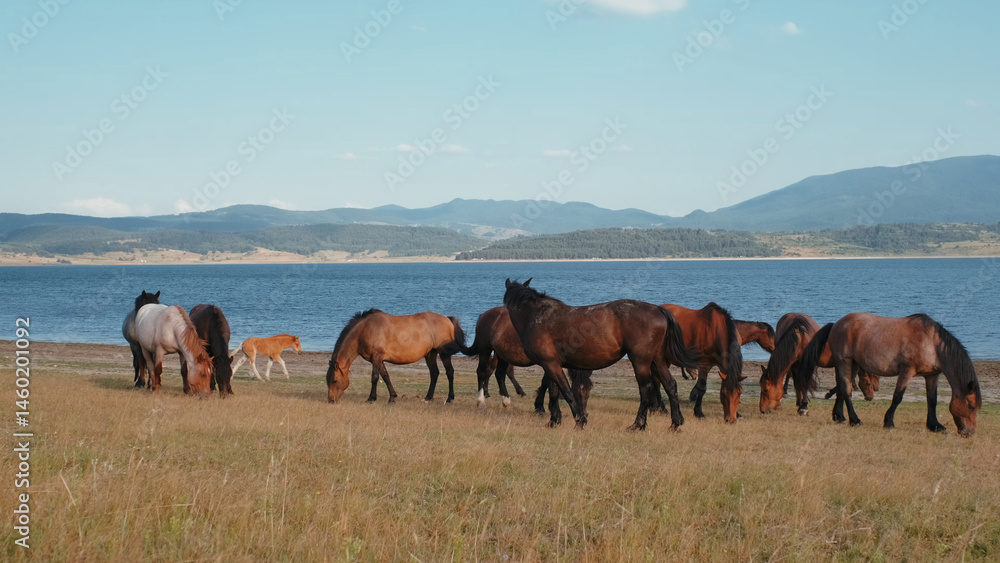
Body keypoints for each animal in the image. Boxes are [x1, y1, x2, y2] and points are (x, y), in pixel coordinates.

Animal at [327, 310, 470, 404]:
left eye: (334, 380)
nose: (331, 400)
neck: (365, 330)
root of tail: (447, 319)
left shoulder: (377, 357)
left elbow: (375, 377)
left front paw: (371, 398)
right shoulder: (378, 359)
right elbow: (386, 376)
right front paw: (392, 397)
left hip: (444, 353)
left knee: (449, 372)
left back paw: (450, 398)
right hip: (430, 354)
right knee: (434, 373)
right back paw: (428, 397)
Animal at [502, 279, 700, 430]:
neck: (538, 317)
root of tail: (658, 309)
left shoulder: (550, 364)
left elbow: (566, 391)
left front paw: (580, 421)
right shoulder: (550, 365)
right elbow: (554, 392)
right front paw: (554, 420)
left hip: (641, 361)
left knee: (646, 389)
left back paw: (638, 424)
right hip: (657, 361)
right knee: (670, 385)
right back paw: (675, 423)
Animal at [796, 313, 981, 436]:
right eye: (971, 406)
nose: (969, 432)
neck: (931, 343)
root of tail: (836, 324)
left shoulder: (931, 375)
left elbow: (932, 400)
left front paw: (934, 425)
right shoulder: (907, 371)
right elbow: (898, 397)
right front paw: (889, 422)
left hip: (853, 364)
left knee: (842, 387)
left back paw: (839, 416)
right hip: (844, 362)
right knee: (846, 390)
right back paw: (854, 420)